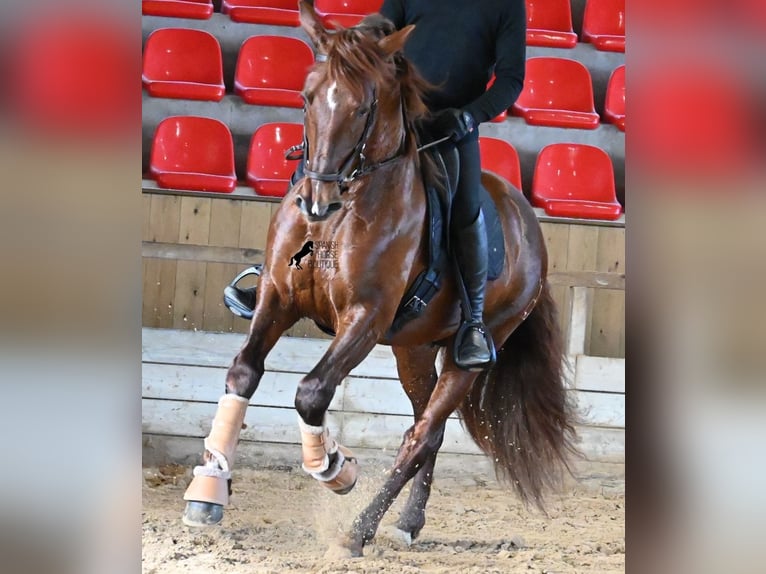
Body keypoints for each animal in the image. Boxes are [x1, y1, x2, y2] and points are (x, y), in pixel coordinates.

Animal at [182, 0, 576, 560]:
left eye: (365, 107)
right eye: (306, 96)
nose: (317, 202)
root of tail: (527, 220)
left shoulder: (364, 318)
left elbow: (312, 392)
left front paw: (335, 468)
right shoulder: (278, 298)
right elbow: (242, 373)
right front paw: (207, 491)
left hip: (475, 349)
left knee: (422, 434)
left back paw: (359, 531)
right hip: (412, 349)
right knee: (427, 429)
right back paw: (407, 523)